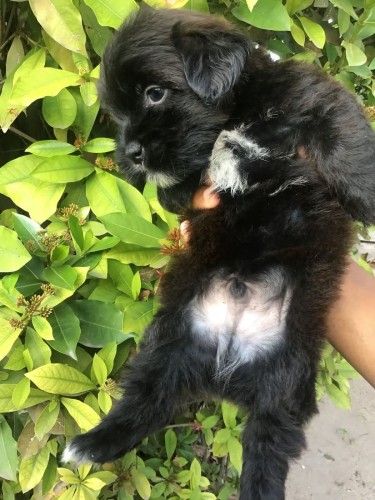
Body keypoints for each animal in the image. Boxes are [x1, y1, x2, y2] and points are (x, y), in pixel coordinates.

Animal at [64, 7, 375, 500]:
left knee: (267, 446)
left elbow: (342, 134)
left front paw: (365, 198)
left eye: (155, 93)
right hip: (167, 345)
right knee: (148, 401)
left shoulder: (313, 95)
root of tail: (226, 360)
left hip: (287, 379)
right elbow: (178, 191)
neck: (236, 114)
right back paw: (92, 444)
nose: (130, 153)